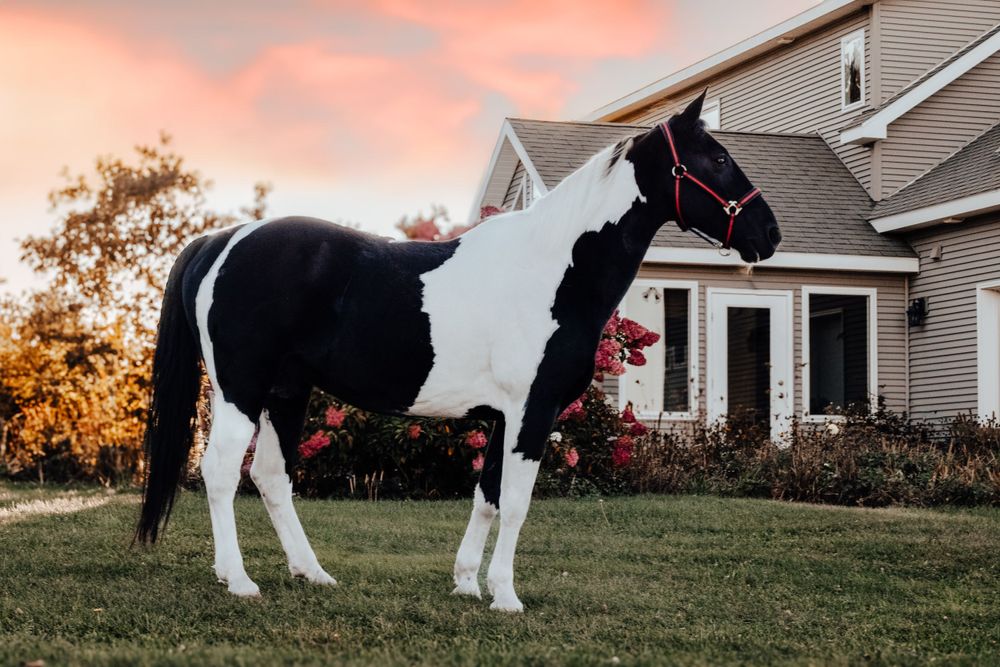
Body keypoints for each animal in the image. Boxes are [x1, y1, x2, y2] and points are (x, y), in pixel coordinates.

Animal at [135, 91, 781, 612]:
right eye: (718, 159)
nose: (768, 234)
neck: (552, 269)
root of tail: (223, 239)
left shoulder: (502, 417)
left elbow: (488, 497)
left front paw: (469, 583)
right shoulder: (532, 413)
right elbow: (516, 502)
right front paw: (507, 596)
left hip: (286, 393)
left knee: (271, 476)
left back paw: (312, 573)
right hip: (240, 390)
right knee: (221, 471)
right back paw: (239, 580)